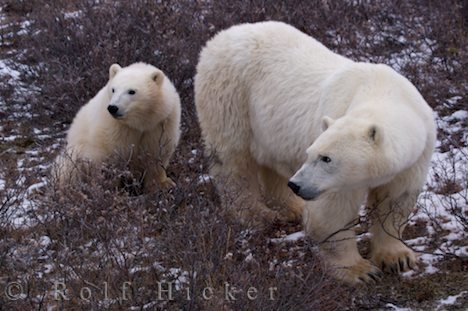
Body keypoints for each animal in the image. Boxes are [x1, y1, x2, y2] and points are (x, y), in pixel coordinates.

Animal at [194, 22, 436, 286]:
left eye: (325, 158)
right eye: (313, 153)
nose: (297, 184)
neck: (383, 91)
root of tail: (221, 36)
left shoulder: (416, 156)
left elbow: (395, 201)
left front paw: (398, 258)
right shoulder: (337, 175)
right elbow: (332, 212)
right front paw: (359, 271)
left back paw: (292, 207)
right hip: (230, 97)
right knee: (233, 161)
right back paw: (257, 214)